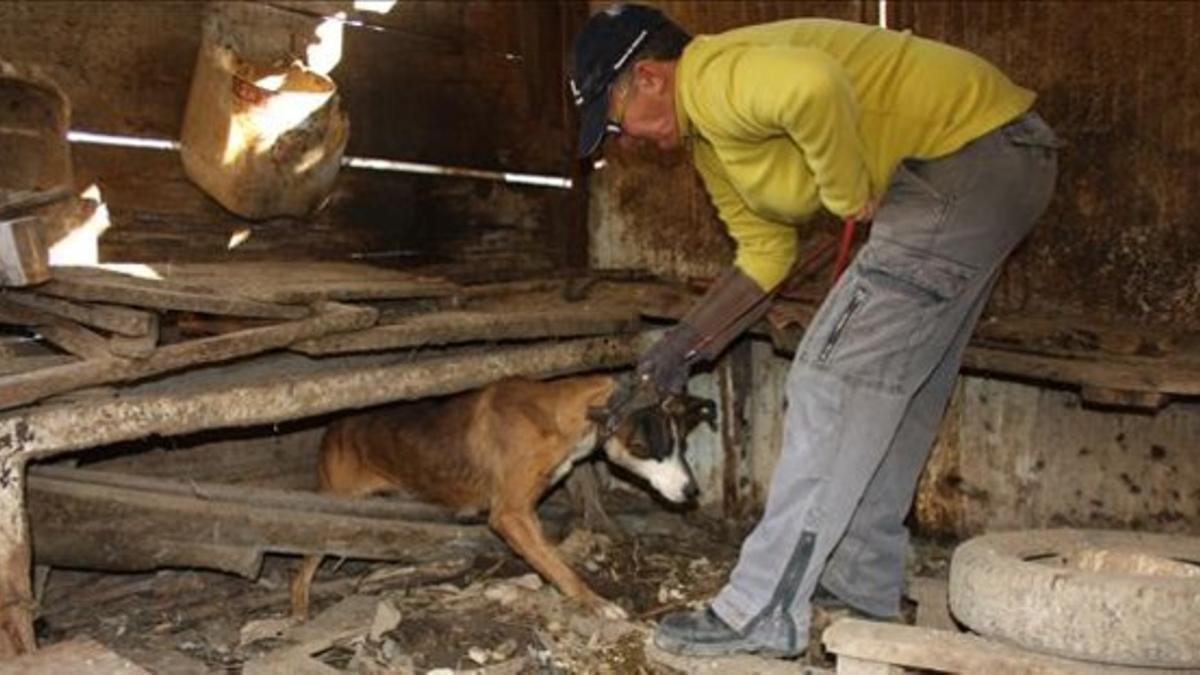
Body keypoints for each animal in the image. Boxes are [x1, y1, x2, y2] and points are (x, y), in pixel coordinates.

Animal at [291, 369, 715, 619]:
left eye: (682, 445)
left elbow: (552, 554)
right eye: (644, 447)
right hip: (327, 509)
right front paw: (592, 600)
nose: (692, 491)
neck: (561, 420)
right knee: (301, 572)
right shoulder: (510, 514)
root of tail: (334, 424)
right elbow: (558, 566)